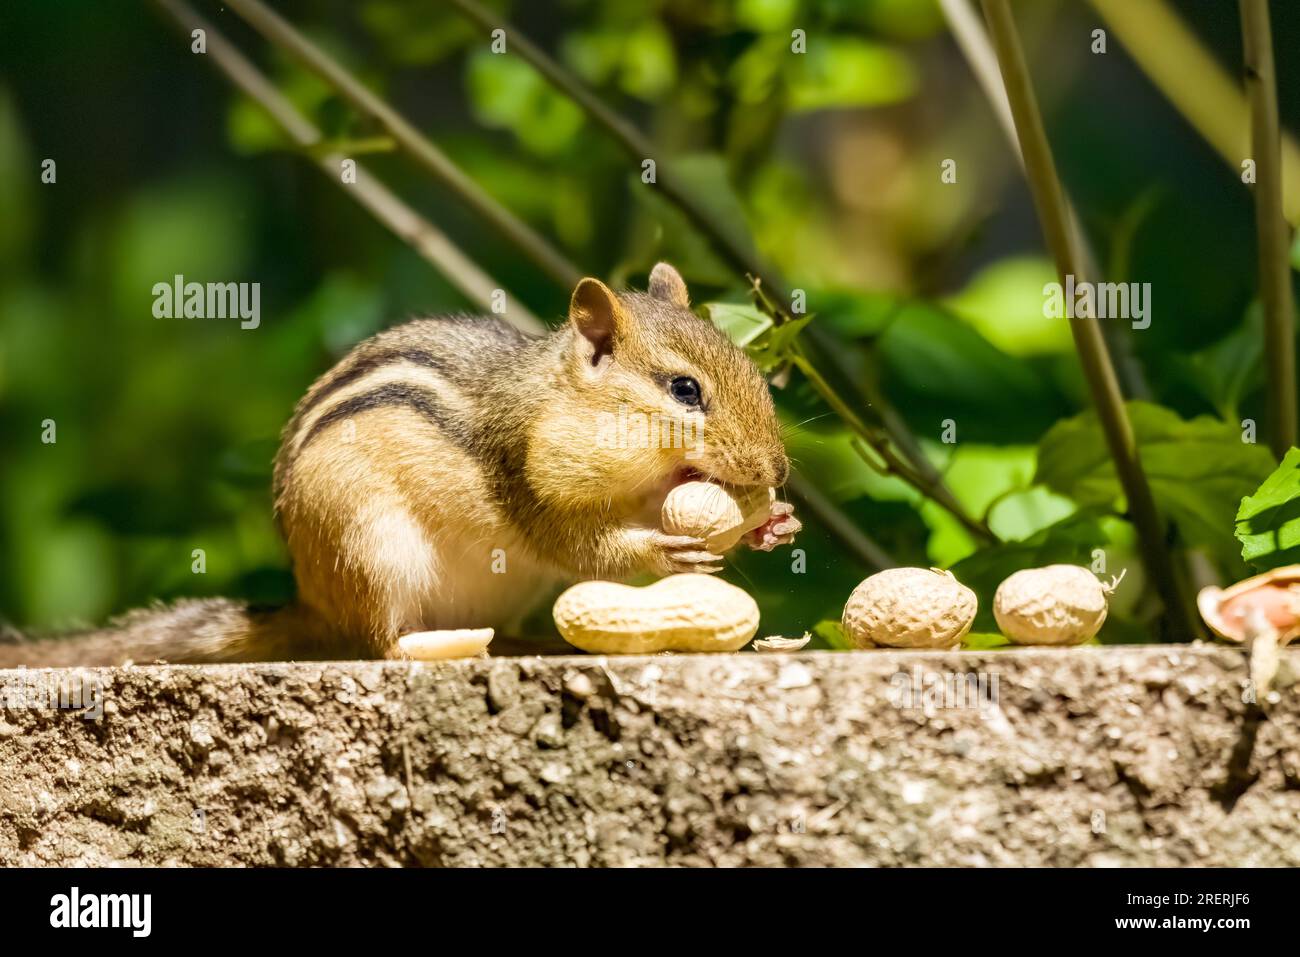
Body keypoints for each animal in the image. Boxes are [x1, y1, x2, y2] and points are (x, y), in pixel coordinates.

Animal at [0, 263, 800, 666]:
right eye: (685, 390)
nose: (777, 469)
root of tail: (314, 600)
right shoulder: (528, 474)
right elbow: (578, 544)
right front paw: (664, 547)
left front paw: (773, 525)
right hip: (372, 551)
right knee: (382, 643)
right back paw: (432, 645)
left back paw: (520, 641)